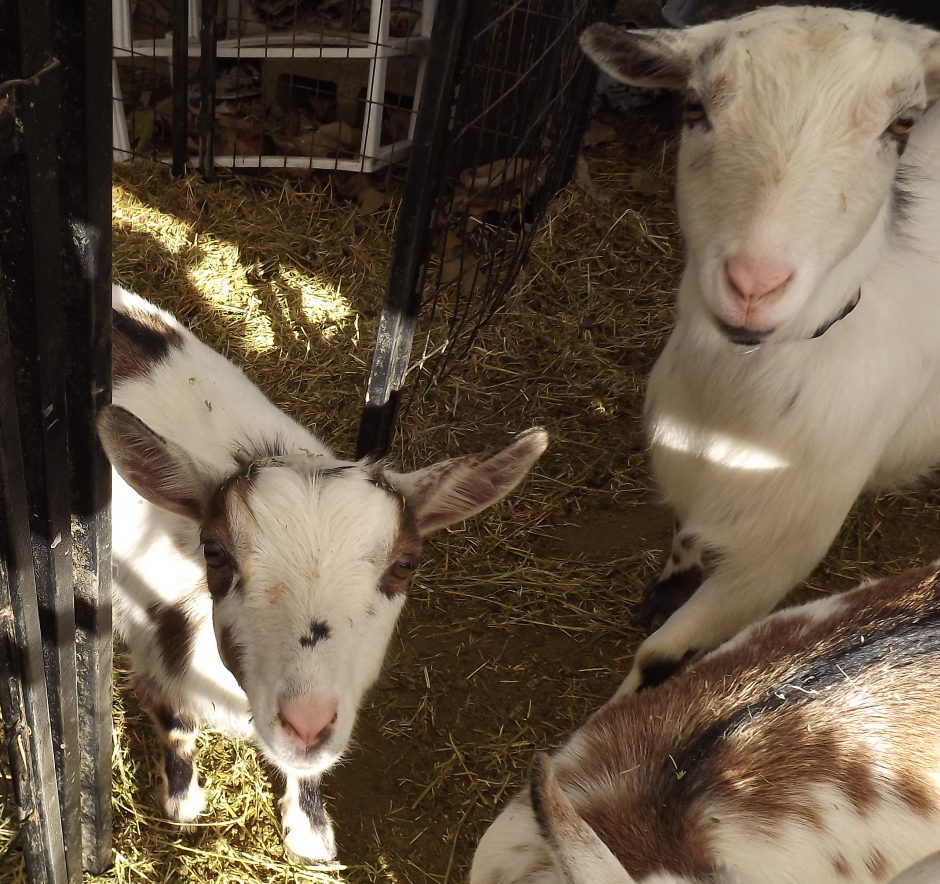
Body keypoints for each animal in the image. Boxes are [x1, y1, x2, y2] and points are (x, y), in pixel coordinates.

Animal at [100, 285, 548, 862]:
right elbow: (175, 723)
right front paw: (182, 801)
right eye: (215, 551)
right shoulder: (150, 648)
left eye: (406, 564)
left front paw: (310, 830)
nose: (306, 723)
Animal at [580, 6, 940, 695]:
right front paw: (666, 589)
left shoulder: (777, 554)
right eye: (694, 106)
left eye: (902, 124)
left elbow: (661, 658)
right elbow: (685, 545)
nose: (753, 285)